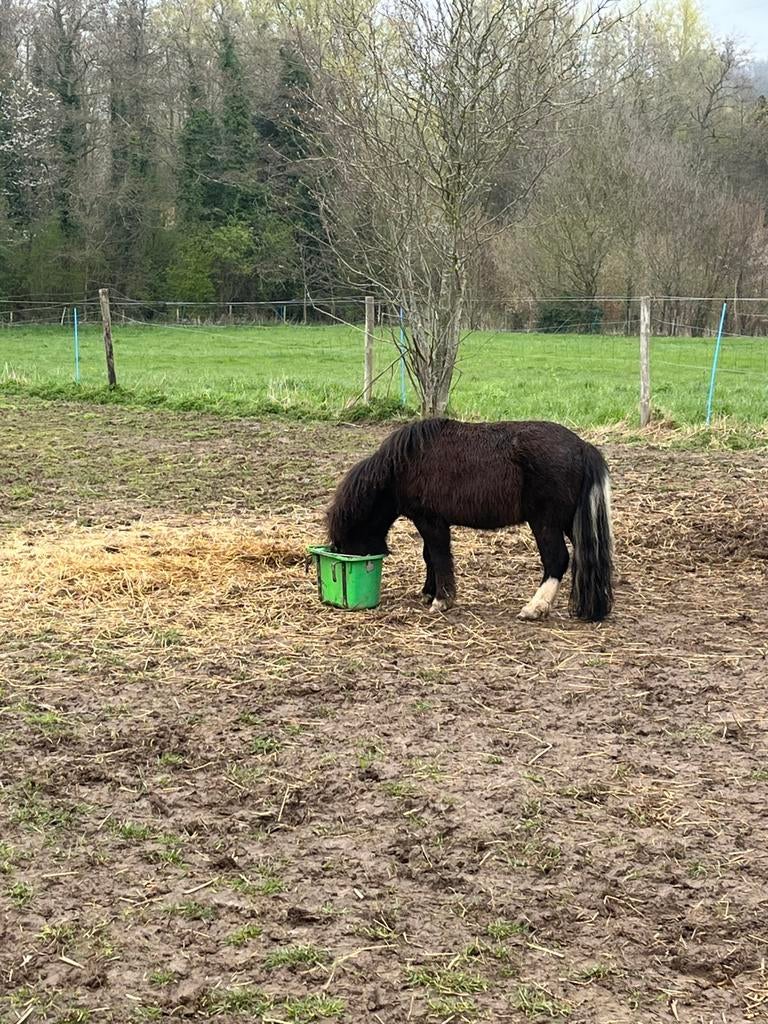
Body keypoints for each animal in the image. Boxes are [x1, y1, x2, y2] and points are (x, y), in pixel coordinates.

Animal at [326, 418, 614, 621]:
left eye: (346, 547)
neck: (402, 464)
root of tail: (581, 447)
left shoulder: (430, 521)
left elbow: (439, 557)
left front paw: (442, 600)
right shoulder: (429, 522)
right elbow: (429, 557)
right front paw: (429, 592)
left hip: (546, 523)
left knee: (556, 559)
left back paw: (534, 608)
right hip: (568, 522)